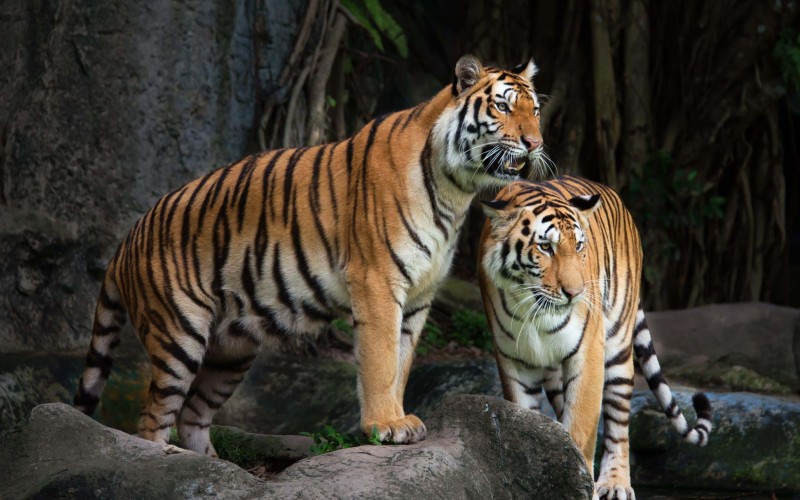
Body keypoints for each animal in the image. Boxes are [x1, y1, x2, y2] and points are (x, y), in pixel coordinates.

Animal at [73, 54, 546, 455]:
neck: (456, 190)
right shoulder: (377, 281)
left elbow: (402, 362)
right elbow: (380, 358)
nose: (535, 143)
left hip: (232, 350)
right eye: (502, 107)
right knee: (153, 416)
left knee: (193, 416)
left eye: (536, 110)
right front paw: (385, 425)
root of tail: (128, 237)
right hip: (178, 334)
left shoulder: (419, 296)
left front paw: (399, 418)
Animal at [478, 176, 712, 499]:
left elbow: (581, 430)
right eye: (545, 247)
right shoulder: (513, 361)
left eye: (578, 245)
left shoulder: (588, 352)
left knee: (618, 422)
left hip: (617, 346)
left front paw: (579, 484)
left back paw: (616, 483)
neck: (534, 311)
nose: (575, 293)